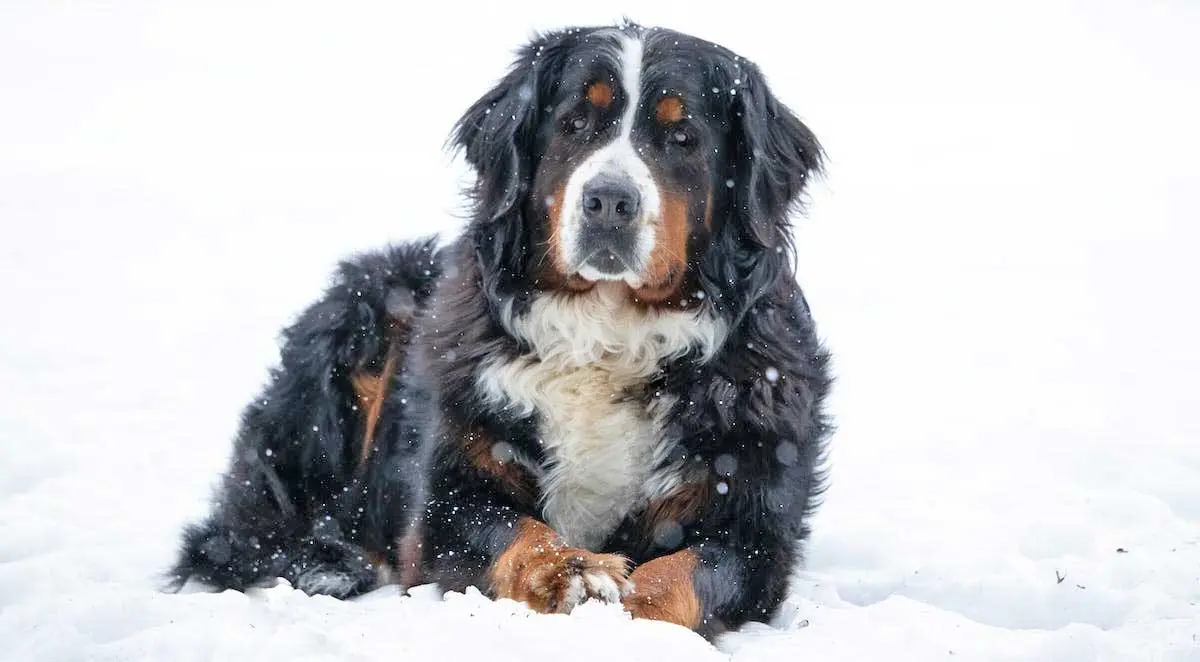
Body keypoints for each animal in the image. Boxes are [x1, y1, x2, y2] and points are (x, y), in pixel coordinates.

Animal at [171, 22, 835, 642]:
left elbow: (690, 572)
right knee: (246, 531)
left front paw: (626, 606)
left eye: (683, 137)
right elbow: (513, 530)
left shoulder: (751, 520)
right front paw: (571, 571)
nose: (608, 202)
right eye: (573, 123)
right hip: (368, 308)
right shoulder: (448, 494)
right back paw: (325, 564)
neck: (608, 334)